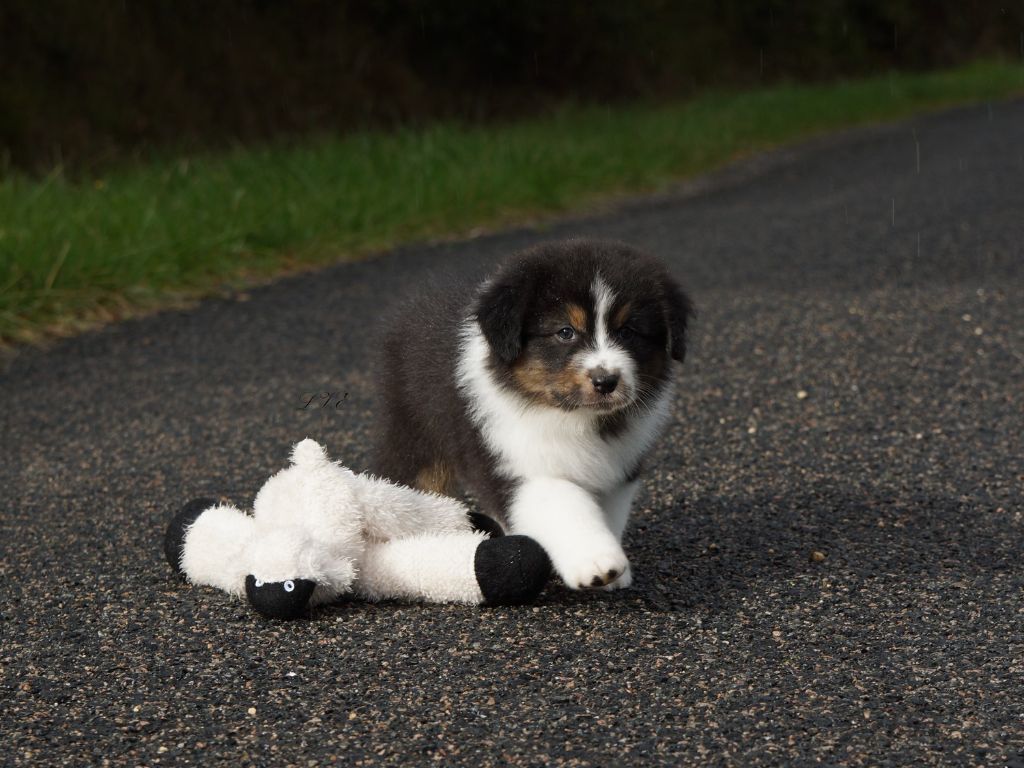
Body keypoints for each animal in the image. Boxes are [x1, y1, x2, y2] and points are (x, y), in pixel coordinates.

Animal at [371, 239, 693, 590]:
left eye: (628, 331)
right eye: (565, 332)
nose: (606, 381)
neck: (573, 417)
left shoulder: (619, 468)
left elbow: (608, 511)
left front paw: (613, 574)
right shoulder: (517, 462)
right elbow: (565, 505)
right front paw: (597, 564)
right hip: (415, 432)